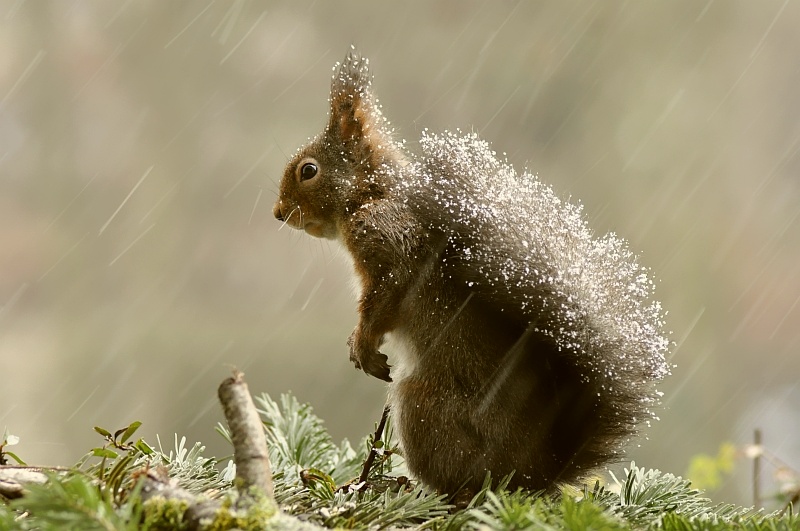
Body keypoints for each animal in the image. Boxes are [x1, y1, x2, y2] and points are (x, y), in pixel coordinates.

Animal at [274, 50, 668, 494]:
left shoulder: (390, 238)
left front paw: (362, 343)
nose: (278, 213)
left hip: (422, 405)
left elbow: (384, 298)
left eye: (308, 170)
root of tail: (534, 473)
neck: (371, 193)